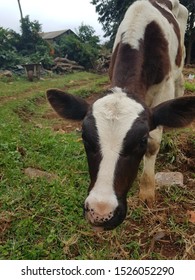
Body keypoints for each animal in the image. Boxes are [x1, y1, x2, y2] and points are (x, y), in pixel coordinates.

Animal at [47, 0, 195, 230]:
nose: (101, 213)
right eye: (84, 137)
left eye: (141, 141)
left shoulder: (164, 87)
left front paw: (147, 191)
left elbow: (155, 141)